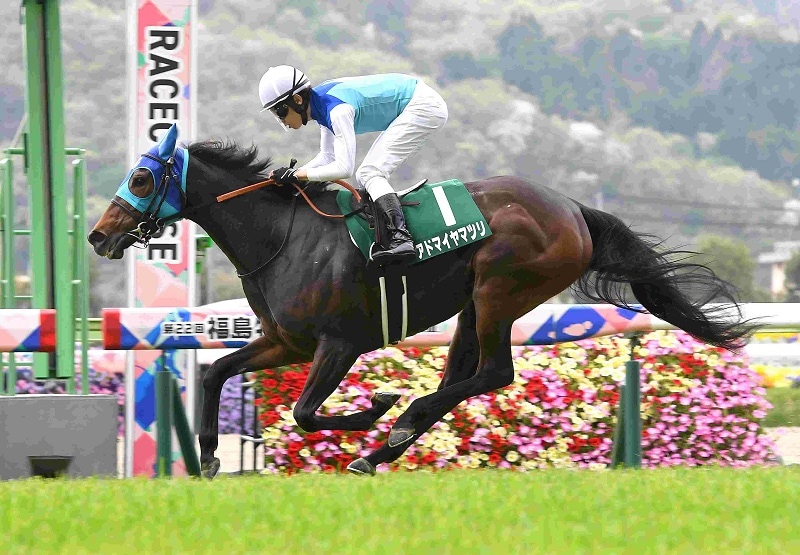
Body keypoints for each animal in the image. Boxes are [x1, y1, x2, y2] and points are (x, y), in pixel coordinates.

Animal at [88, 124, 756, 478]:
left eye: (142, 177)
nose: (98, 235)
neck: (284, 237)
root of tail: (572, 209)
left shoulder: (339, 344)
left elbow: (304, 413)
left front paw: (376, 406)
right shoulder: (286, 342)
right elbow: (216, 373)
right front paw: (206, 458)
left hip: (498, 291)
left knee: (493, 372)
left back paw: (397, 425)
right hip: (472, 306)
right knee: (465, 374)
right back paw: (388, 445)